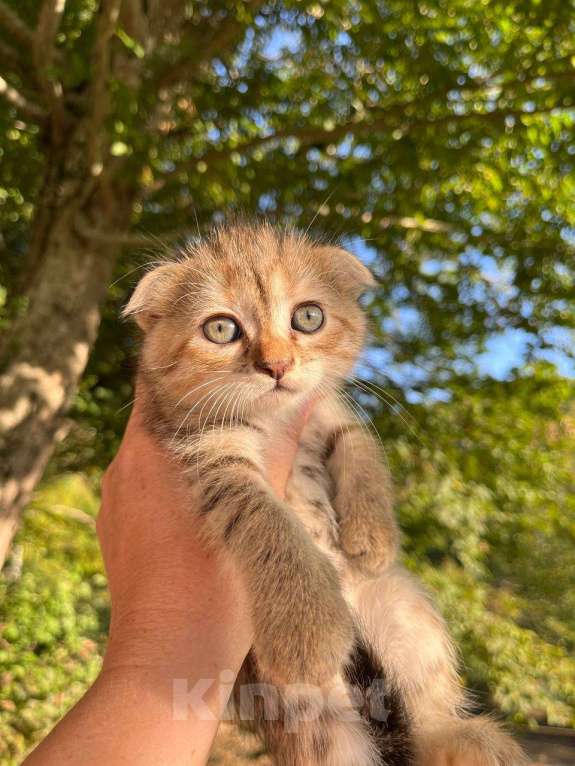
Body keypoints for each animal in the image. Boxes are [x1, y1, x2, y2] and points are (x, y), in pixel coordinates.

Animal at [124, 222, 528, 766]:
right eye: (221, 329)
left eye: (309, 316)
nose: (277, 365)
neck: (275, 421)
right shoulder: (205, 454)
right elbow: (267, 519)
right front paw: (306, 628)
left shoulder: (325, 409)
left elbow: (357, 442)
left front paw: (372, 532)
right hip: (315, 729)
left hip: (409, 612)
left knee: (428, 724)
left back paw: (473, 740)